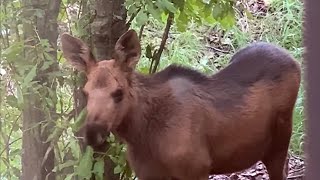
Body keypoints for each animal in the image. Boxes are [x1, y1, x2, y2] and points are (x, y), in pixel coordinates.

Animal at [61, 29, 302, 180]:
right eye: (85, 92)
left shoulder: (197, 168)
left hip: (281, 139)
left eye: (118, 92)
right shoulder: (148, 174)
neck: (141, 136)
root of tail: (293, 60)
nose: (92, 133)